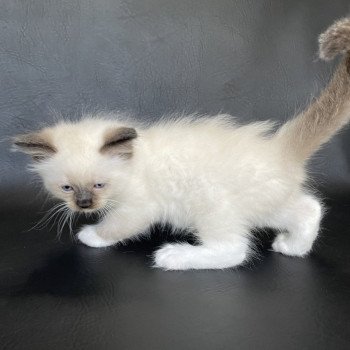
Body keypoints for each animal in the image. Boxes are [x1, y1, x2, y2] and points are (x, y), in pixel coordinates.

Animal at [12, 17, 350, 270]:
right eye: (67, 188)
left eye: (99, 185)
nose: (84, 205)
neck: (135, 164)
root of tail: (279, 149)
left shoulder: (138, 208)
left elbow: (116, 226)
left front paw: (90, 236)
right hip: (268, 205)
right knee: (309, 208)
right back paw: (293, 247)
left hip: (211, 203)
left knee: (234, 250)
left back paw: (173, 256)